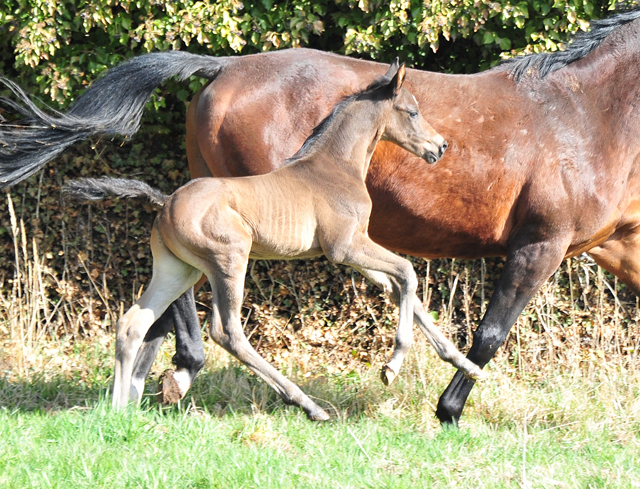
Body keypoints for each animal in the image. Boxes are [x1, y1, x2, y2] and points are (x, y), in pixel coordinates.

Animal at [67, 62, 482, 420]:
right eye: (412, 111)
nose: (440, 147)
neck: (336, 166)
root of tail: (165, 203)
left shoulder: (355, 249)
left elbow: (398, 288)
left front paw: (468, 365)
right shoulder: (344, 247)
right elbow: (408, 273)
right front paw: (391, 366)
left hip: (177, 270)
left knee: (132, 324)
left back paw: (117, 410)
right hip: (228, 260)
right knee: (226, 331)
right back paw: (308, 405)